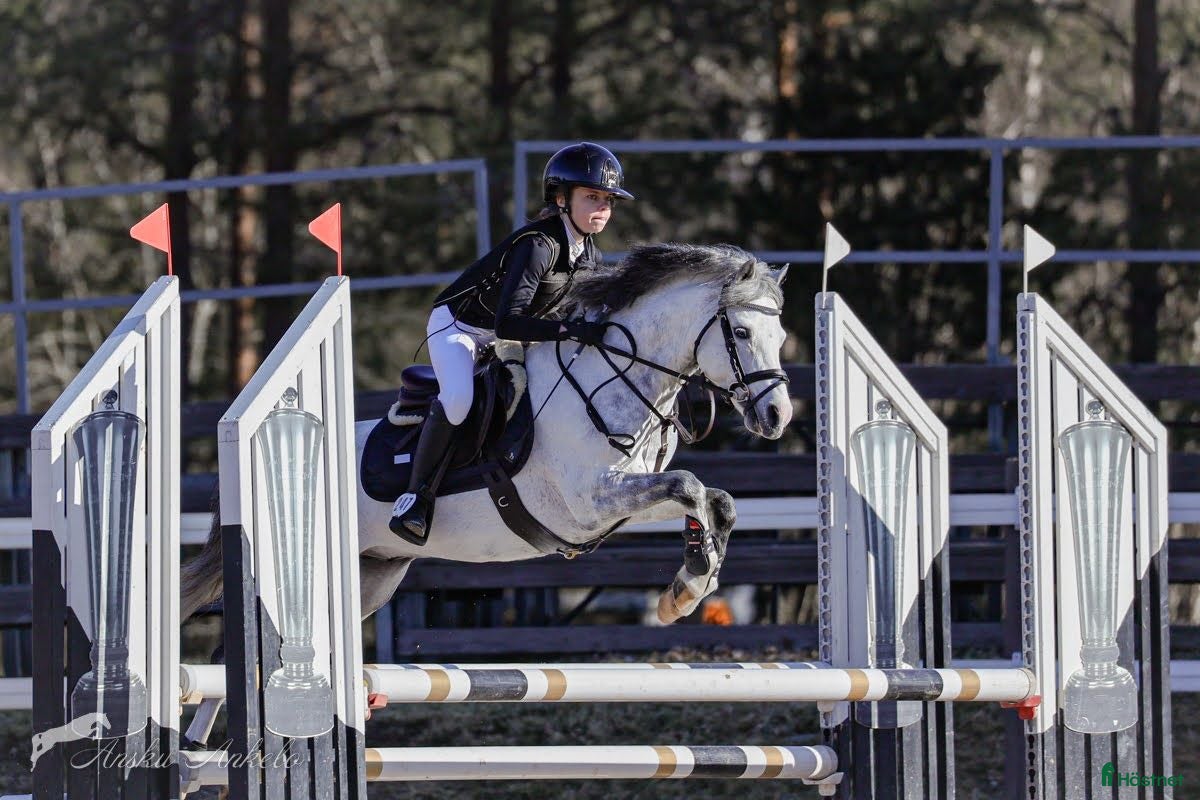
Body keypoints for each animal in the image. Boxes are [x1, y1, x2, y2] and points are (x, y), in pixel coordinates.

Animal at [179, 241, 791, 660]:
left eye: (780, 337)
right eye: (739, 334)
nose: (777, 417)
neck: (615, 375)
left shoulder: (622, 502)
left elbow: (714, 499)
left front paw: (690, 584)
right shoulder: (589, 503)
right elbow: (689, 485)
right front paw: (687, 588)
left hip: (368, 576)